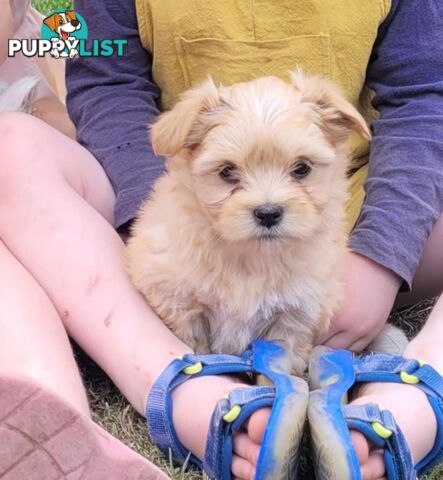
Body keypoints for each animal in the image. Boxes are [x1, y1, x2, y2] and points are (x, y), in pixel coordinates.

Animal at [124, 70, 372, 376]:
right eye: (227, 172)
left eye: (302, 168)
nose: (268, 213)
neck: (251, 257)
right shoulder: (178, 298)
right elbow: (196, 346)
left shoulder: (295, 315)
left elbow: (281, 364)